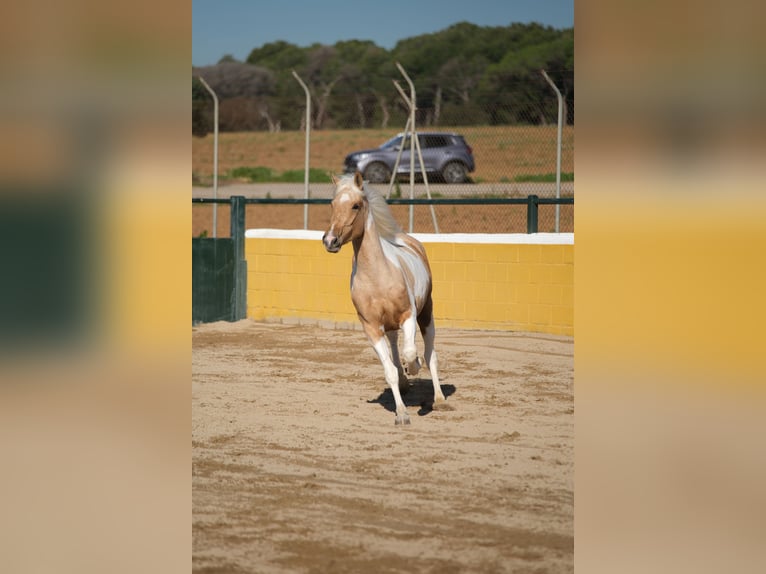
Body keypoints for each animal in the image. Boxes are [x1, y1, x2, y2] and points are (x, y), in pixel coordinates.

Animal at [320, 171, 448, 428]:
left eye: (356, 205)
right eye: (332, 204)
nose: (330, 241)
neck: (377, 277)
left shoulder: (408, 315)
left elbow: (411, 353)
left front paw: (414, 367)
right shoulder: (371, 327)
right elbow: (389, 370)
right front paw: (402, 413)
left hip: (426, 313)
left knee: (431, 354)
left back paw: (438, 399)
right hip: (389, 326)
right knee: (395, 345)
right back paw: (405, 382)